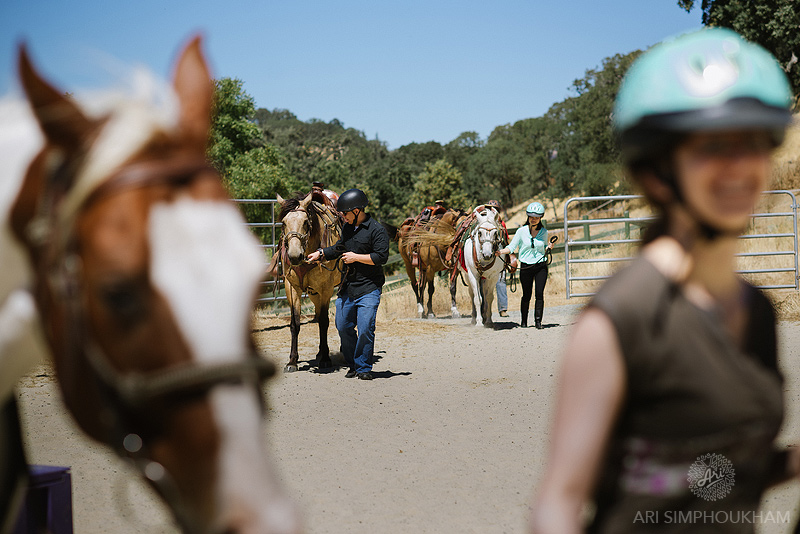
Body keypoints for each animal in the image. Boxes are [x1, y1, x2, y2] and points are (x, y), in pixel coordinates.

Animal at [276, 192, 340, 372]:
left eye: (305, 222)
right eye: (283, 223)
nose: (294, 256)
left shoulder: (326, 289)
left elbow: (324, 322)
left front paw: (325, 359)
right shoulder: (292, 288)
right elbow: (295, 324)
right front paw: (292, 361)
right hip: (314, 294)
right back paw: (319, 352)